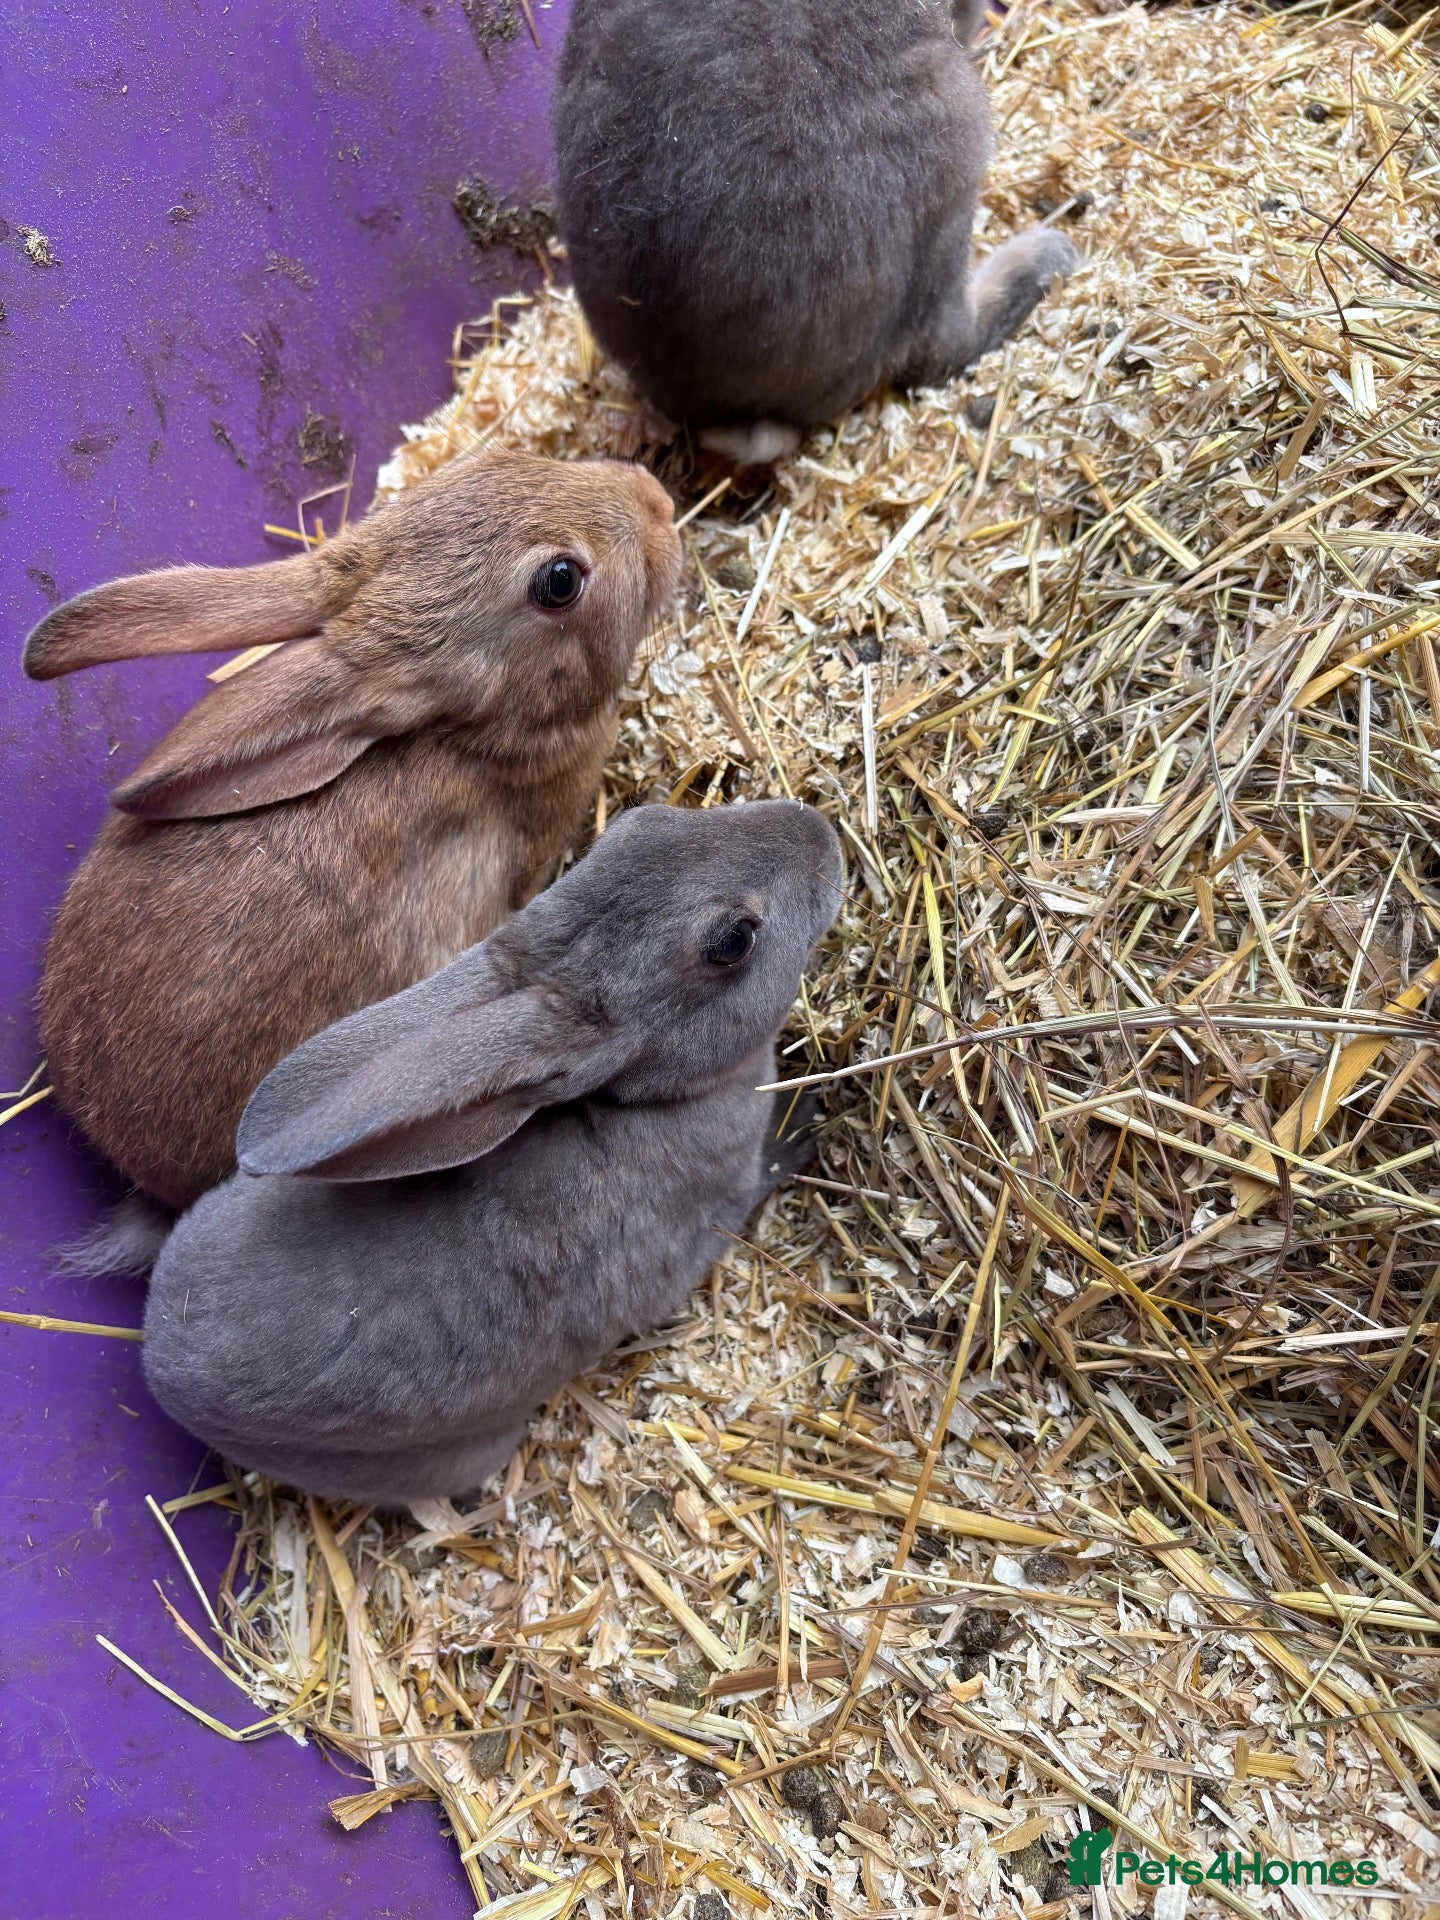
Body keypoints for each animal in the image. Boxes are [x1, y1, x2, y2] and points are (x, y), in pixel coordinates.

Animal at [141, 799, 843, 1507]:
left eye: (639, 820)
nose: (819, 829)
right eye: (733, 941)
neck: (639, 1099)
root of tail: (161, 1371)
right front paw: (803, 1123)